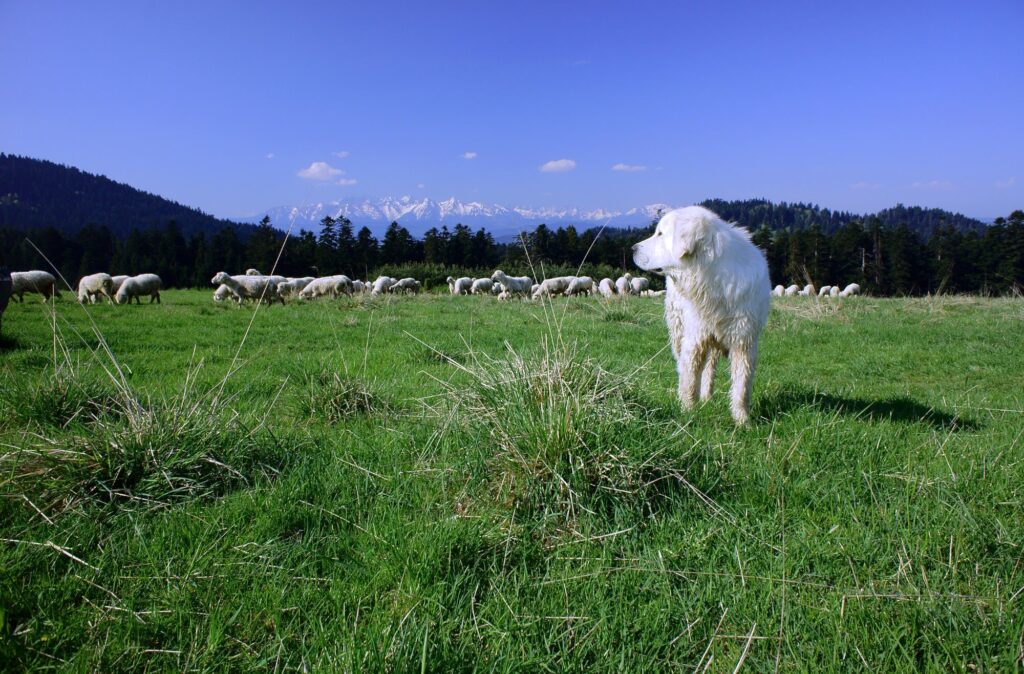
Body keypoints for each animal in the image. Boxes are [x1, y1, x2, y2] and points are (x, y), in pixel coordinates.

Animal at [630, 205, 770, 426]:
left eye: (660, 234)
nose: (632, 248)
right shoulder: (695, 339)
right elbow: (689, 380)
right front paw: (687, 412)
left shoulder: (744, 343)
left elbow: (741, 387)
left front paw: (743, 422)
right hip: (679, 330)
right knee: (684, 365)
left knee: (709, 370)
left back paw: (706, 397)